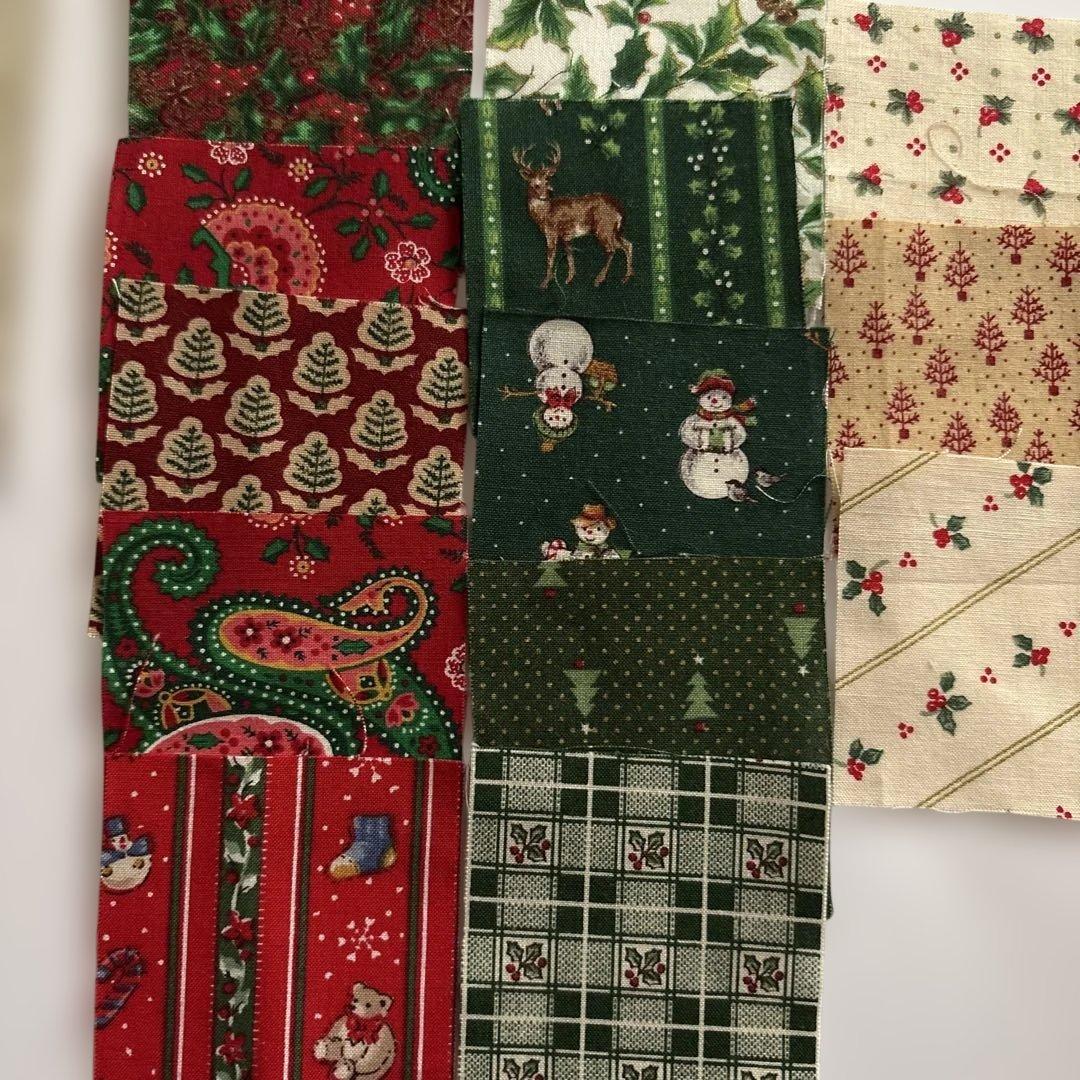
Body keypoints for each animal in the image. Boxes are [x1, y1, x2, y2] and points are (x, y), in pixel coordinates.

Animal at [511, 144, 633, 289]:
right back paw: (626, 277)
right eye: (534, 184)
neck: (545, 214)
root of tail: (619, 208)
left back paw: (599, 279)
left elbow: (550, 257)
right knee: (627, 244)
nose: (548, 193)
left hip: (604, 227)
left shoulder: (552, 232)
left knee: (611, 249)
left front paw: (545, 283)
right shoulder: (566, 236)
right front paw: (569, 279)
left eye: (547, 180)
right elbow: (569, 255)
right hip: (615, 230)